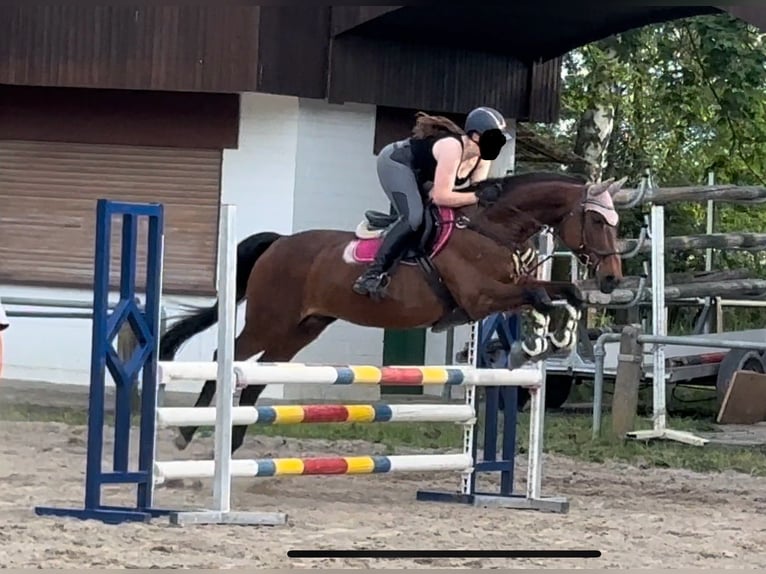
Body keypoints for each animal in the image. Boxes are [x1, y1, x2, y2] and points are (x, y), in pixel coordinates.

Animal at [159, 171, 628, 454]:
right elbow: (538, 294)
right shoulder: (483, 298)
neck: (492, 229)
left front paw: (559, 338)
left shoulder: (505, 292)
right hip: (269, 320)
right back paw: (186, 433)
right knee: (227, 358)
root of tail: (278, 242)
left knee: (260, 376)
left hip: (302, 328)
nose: (611, 279)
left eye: (616, 224)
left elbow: (564, 291)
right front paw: (538, 339)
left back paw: (234, 445)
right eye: (597, 222)